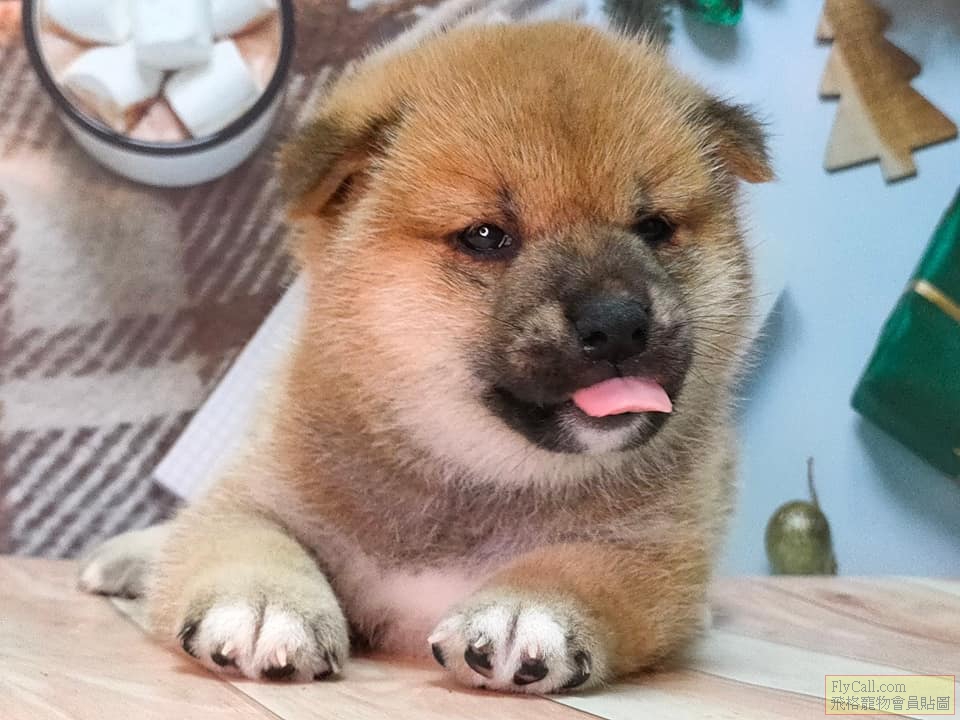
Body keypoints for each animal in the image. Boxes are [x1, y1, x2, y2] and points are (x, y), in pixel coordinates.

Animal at [80, 20, 771, 694]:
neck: (475, 475)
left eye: (654, 228)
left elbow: (585, 566)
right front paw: (264, 603)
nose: (619, 325)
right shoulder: (260, 494)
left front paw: (526, 607)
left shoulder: (658, 549)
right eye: (487, 237)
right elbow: (243, 536)